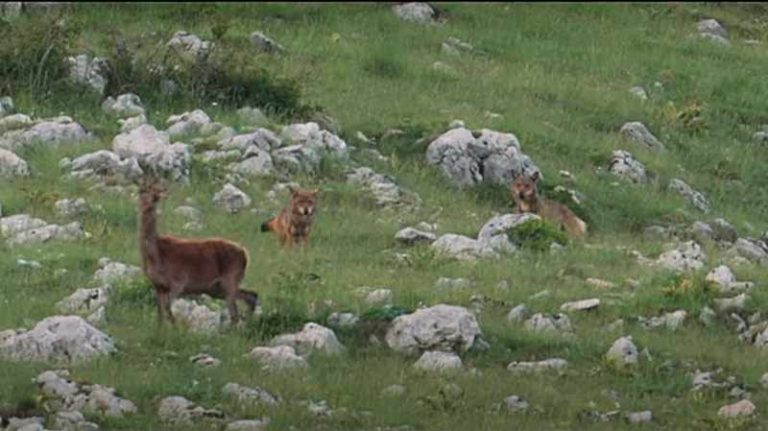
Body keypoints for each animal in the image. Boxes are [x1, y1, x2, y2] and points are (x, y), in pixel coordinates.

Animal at [137, 177, 258, 326]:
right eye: (141, 190)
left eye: (155, 193)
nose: (144, 206)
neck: (155, 254)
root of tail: (245, 254)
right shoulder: (158, 286)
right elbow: (160, 315)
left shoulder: (178, 281)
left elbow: (168, 309)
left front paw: (176, 327)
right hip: (217, 289)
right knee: (251, 296)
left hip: (230, 279)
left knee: (235, 314)